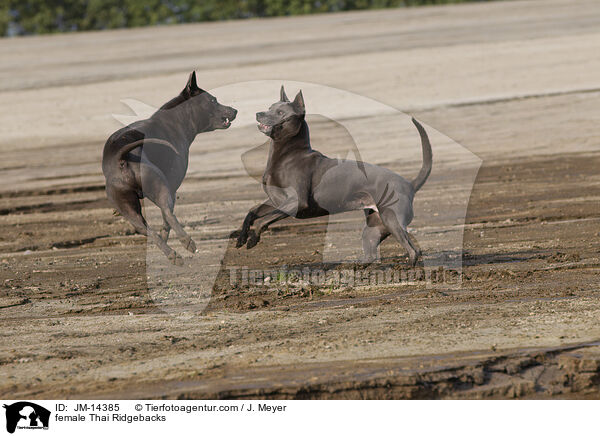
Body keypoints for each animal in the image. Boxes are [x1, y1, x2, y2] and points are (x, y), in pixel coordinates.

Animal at [102, 72, 236, 264]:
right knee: (167, 211)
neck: (176, 119)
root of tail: (121, 156)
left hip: (126, 204)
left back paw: (171, 254)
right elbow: (166, 218)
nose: (234, 110)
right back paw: (187, 241)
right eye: (213, 100)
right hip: (160, 186)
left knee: (145, 228)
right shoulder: (172, 186)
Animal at [234, 84, 432, 262]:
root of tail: (409, 184)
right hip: (373, 227)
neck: (287, 155)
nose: (258, 113)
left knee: (413, 251)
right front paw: (241, 238)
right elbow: (252, 212)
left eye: (280, 113)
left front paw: (253, 239)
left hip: (392, 220)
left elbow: (263, 221)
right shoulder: (276, 200)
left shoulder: (297, 202)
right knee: (372, 255)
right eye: (269, 108)